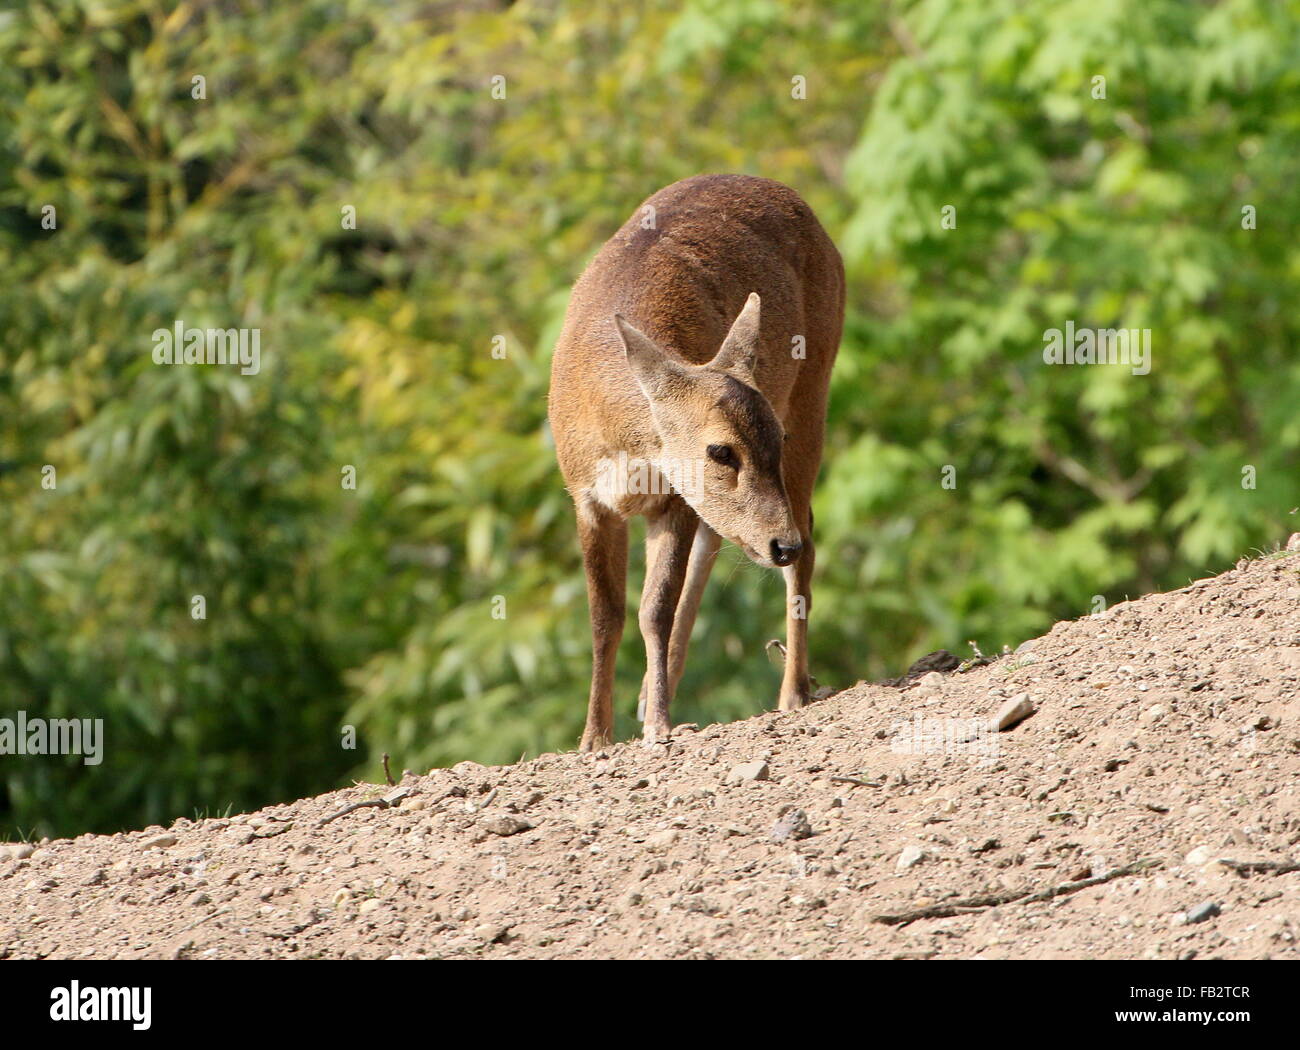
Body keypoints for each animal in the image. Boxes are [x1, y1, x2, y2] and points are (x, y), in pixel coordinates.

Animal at [546, 174, 842, 748]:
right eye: (719, 449)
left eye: (774, 437)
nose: (782, 545)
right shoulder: (586, 497)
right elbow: (604, 617)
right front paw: (594, 736)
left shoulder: (673, 498)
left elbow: (653, 608)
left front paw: (658, 725)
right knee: (722, 539)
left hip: (814, 384)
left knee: (808, 538)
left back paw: (793, 692)